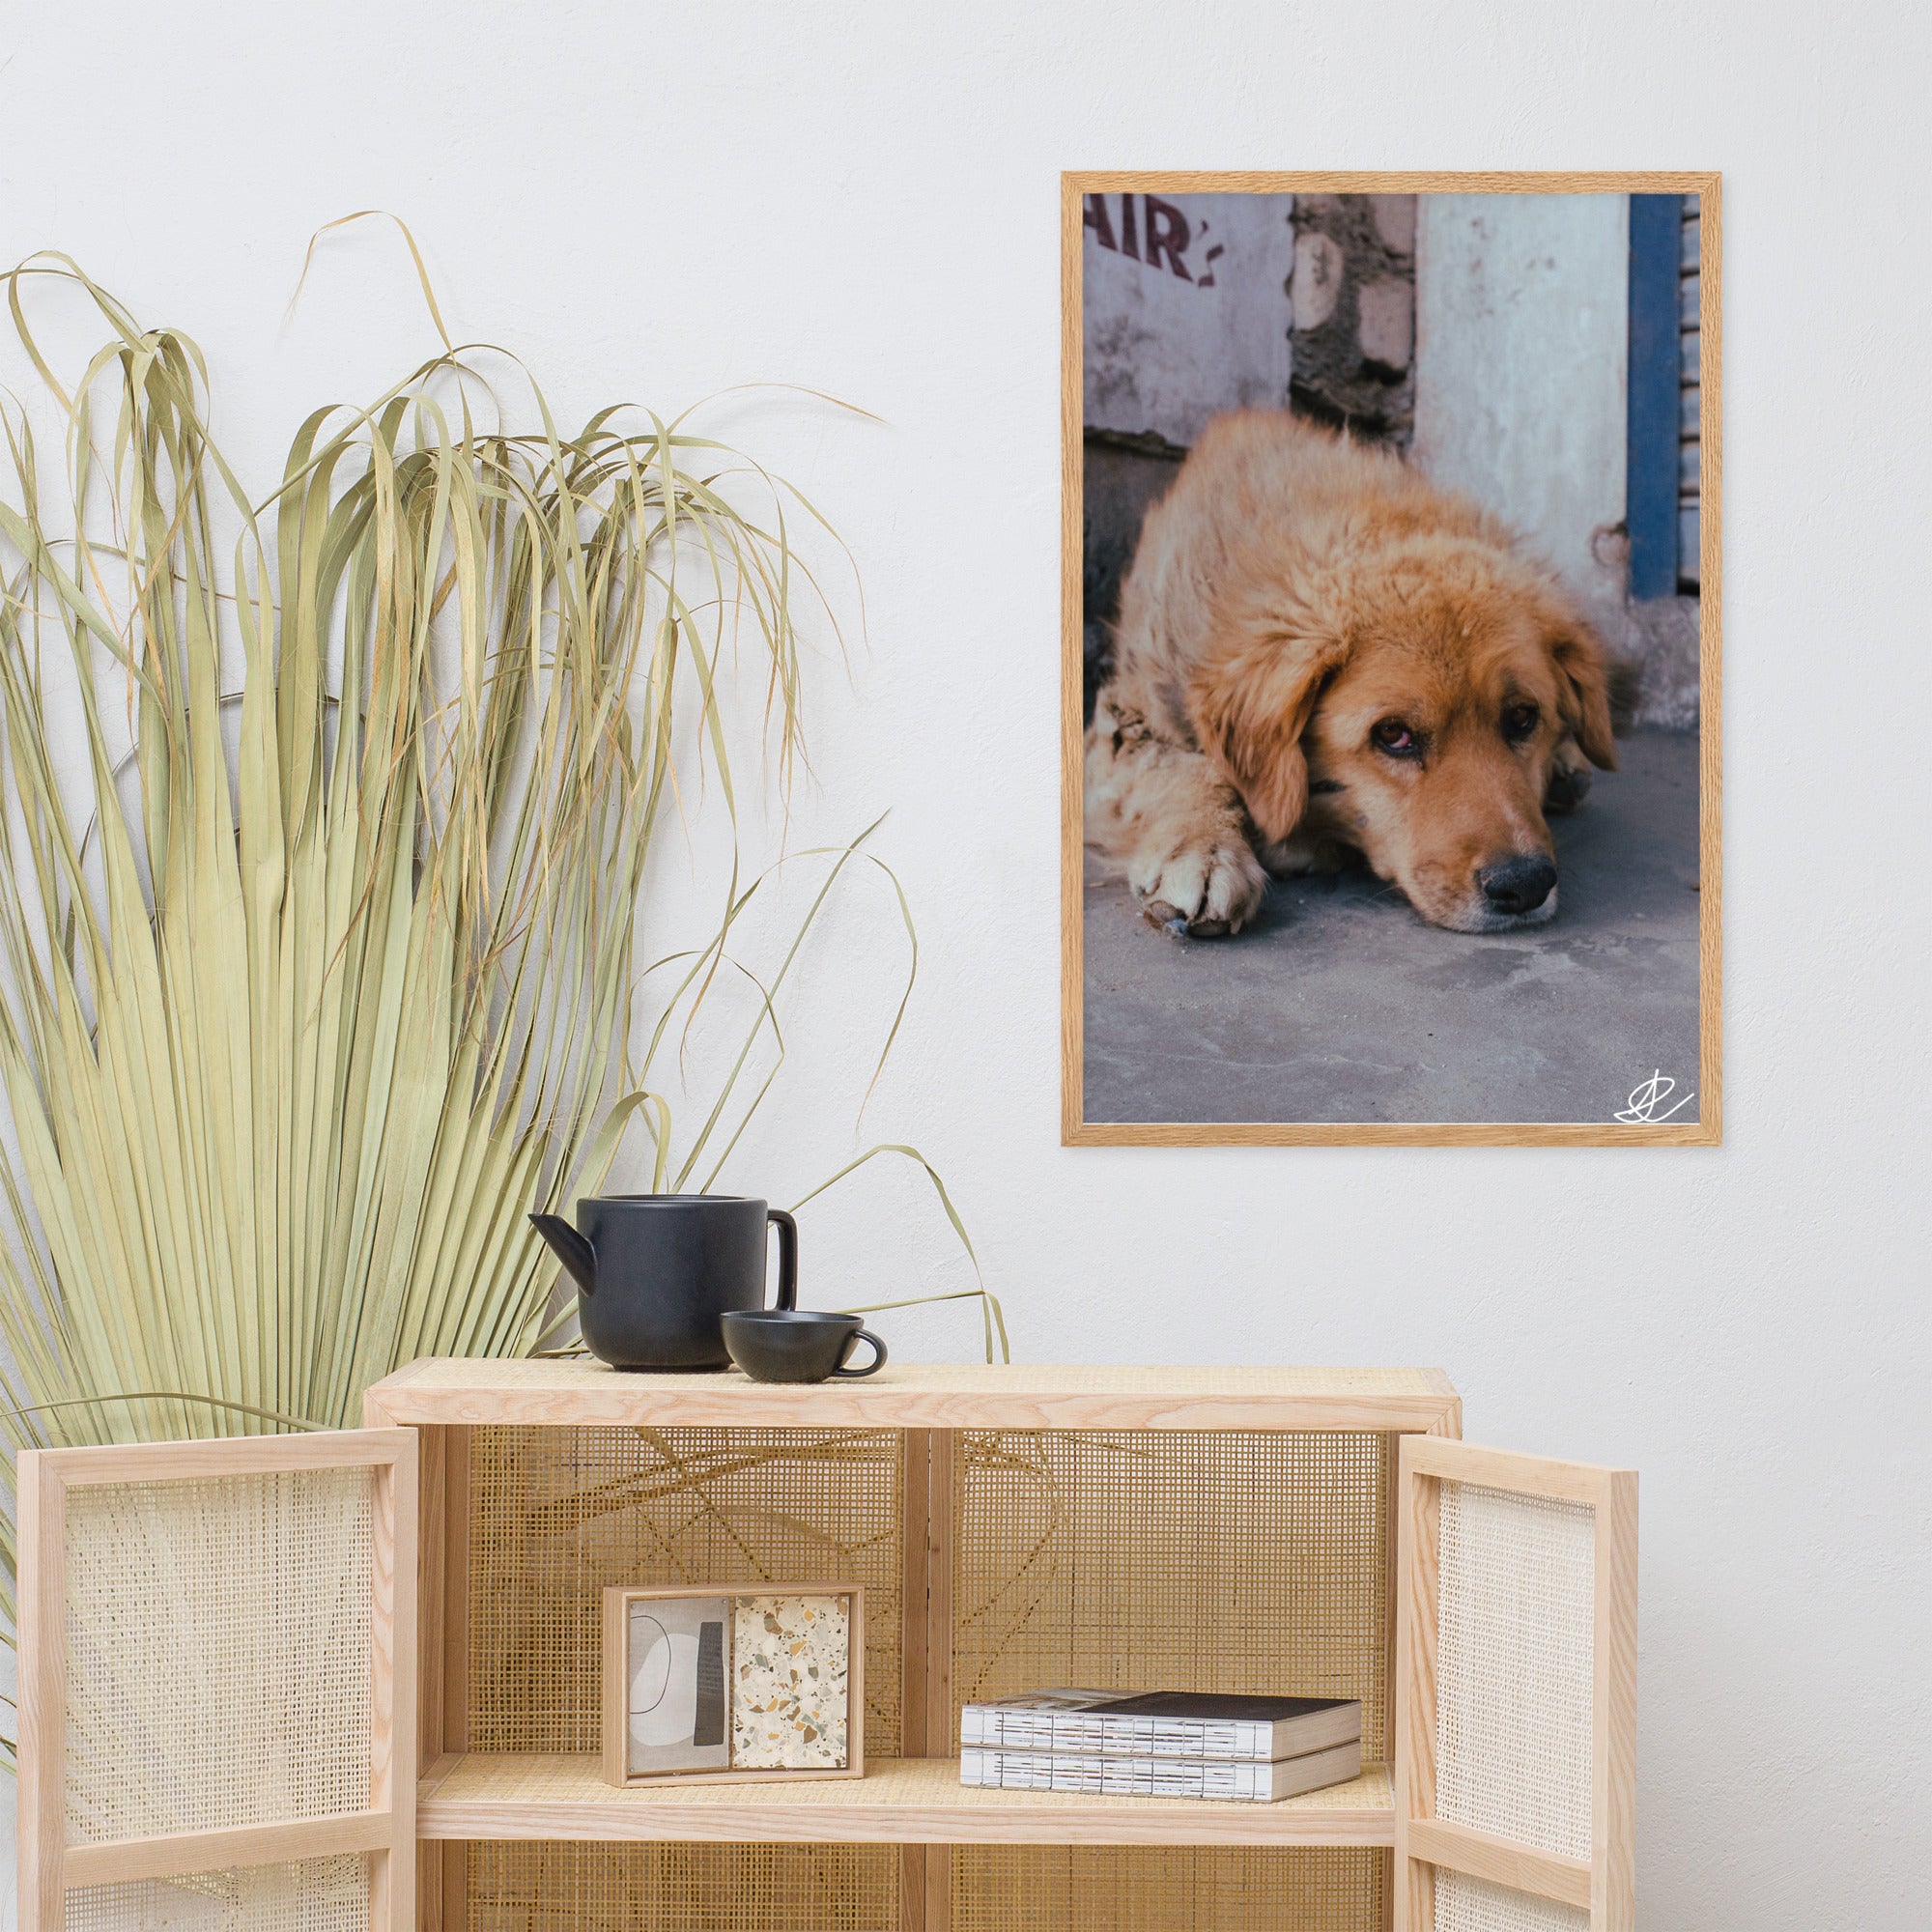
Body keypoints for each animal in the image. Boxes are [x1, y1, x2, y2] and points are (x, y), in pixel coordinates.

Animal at [1090, 412, 1615, 939]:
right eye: (1394, 735)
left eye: (1523, 717)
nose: (1525, 884)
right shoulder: (1127, 717)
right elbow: (1185, 770)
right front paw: (1204, 850)